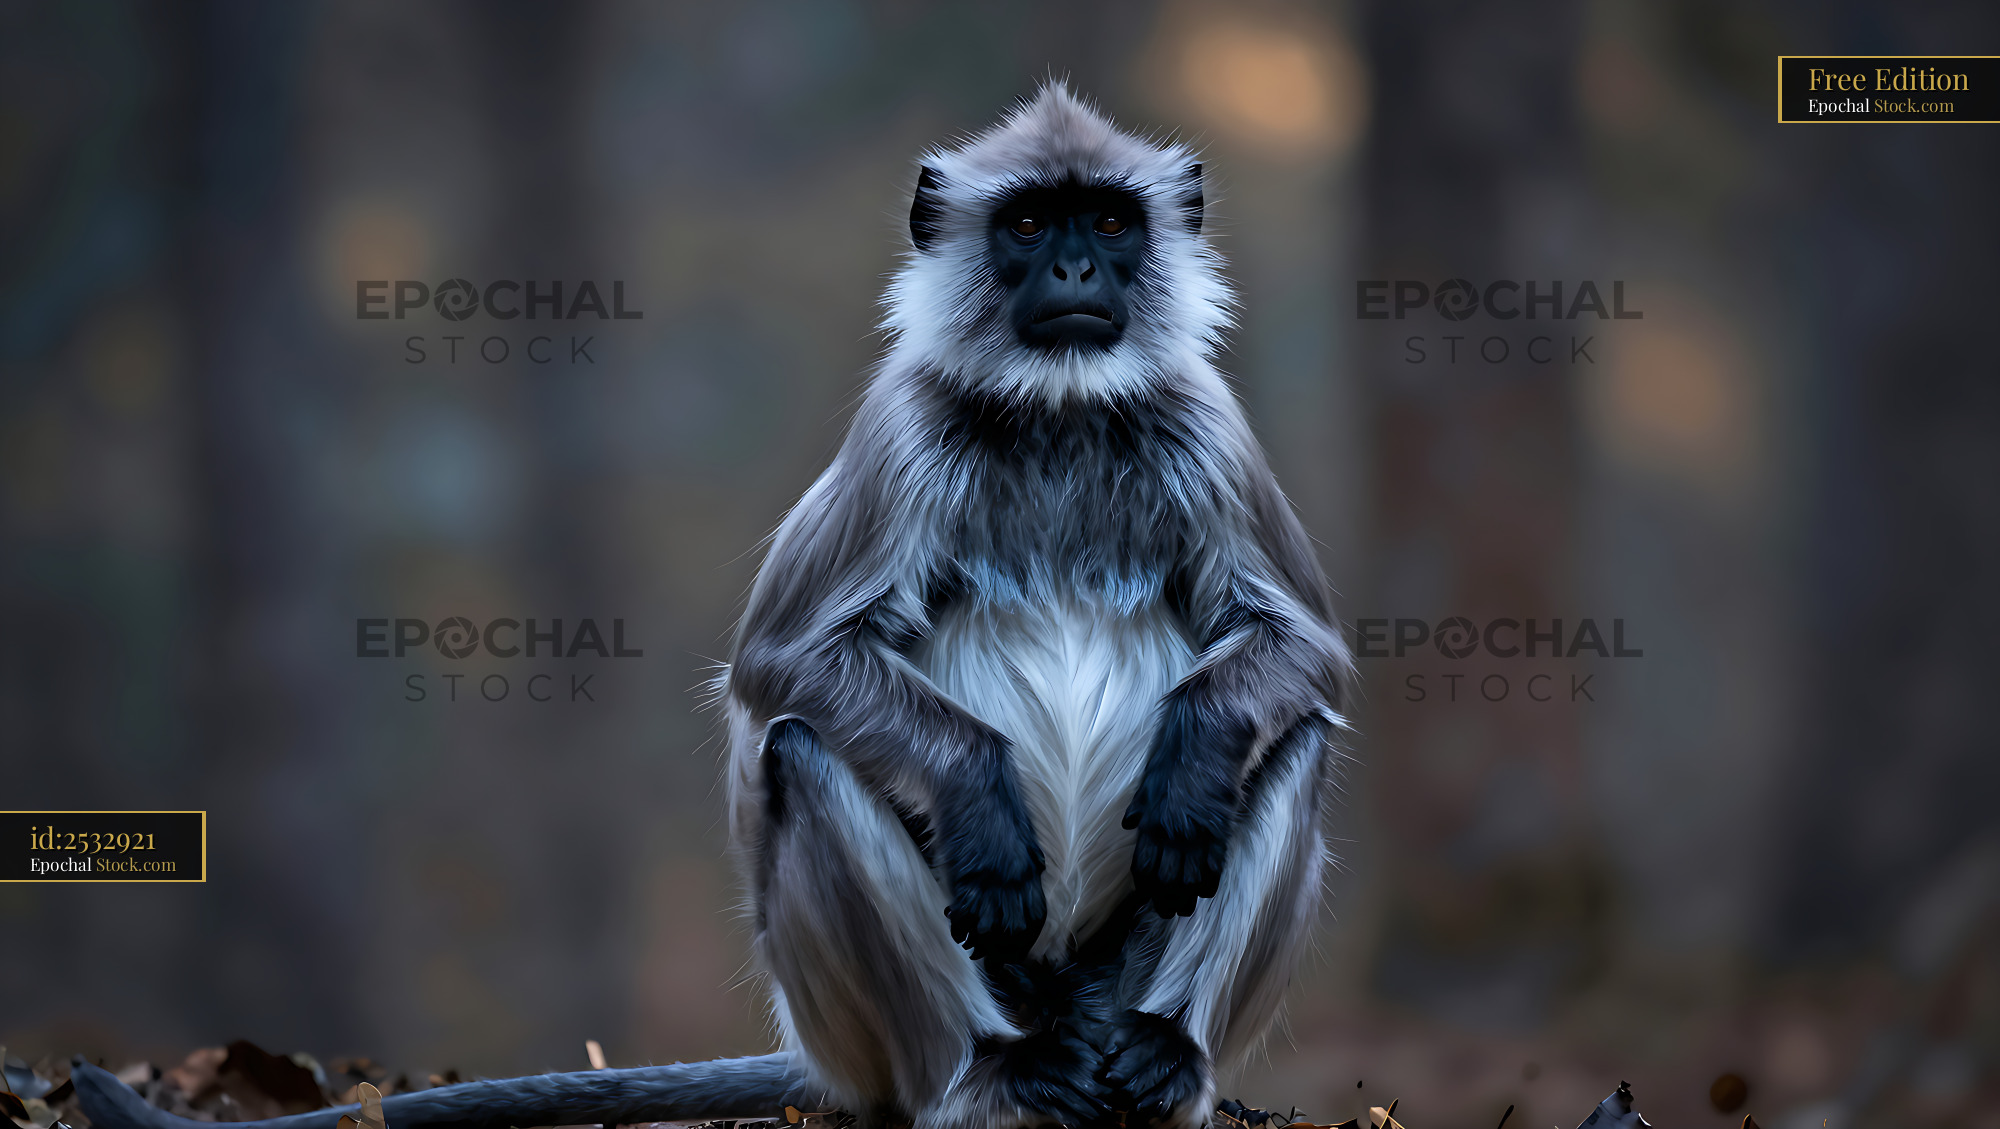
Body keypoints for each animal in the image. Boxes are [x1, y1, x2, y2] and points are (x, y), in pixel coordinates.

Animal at [73, 82, 1349, 1129]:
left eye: (1110, 223)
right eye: (1031, 225)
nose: (1079, 274)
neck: (1060, 410)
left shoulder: (1205, 422)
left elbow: (1308, 654)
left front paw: (1190, 758)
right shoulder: (899, 430)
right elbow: (780, 667)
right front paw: (983, 806)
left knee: (1288, 741)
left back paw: (1161, 1057)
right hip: (874, 1017)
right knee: (804, 754)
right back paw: (985, 1076)